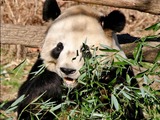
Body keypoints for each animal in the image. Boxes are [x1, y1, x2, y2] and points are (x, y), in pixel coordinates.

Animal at [15, 0, 144, 119]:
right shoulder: (39, 68)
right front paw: (52, 85)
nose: (67, 70)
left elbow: (126, 104)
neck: (73, 88)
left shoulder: (119, 70)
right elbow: (28, 102)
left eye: (85, 50)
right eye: (59, 47)